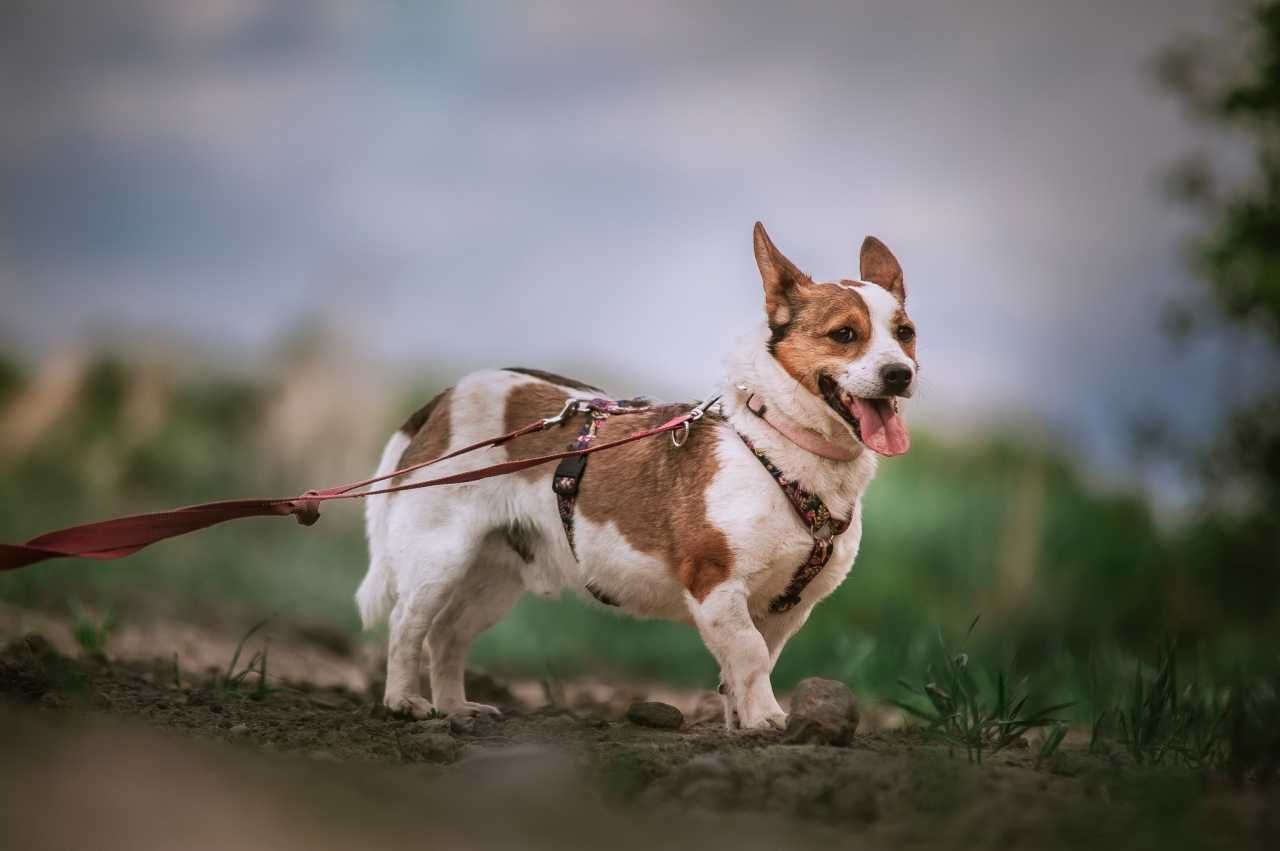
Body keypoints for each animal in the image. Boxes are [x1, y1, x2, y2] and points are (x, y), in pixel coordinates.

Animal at [358, 222, 921, 726]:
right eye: (844, 335)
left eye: (906, 335)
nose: (901, 374)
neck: (778, 444)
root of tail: (443, 398)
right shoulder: (716, 586)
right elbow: (750, 655)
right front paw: (767, 719)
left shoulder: (787, 609)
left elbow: (748, 664)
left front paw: (742, 722)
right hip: (439, 558)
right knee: (407, 626)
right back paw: (405, 701)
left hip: (495, 576)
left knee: (447, 636)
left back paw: (455, 707)